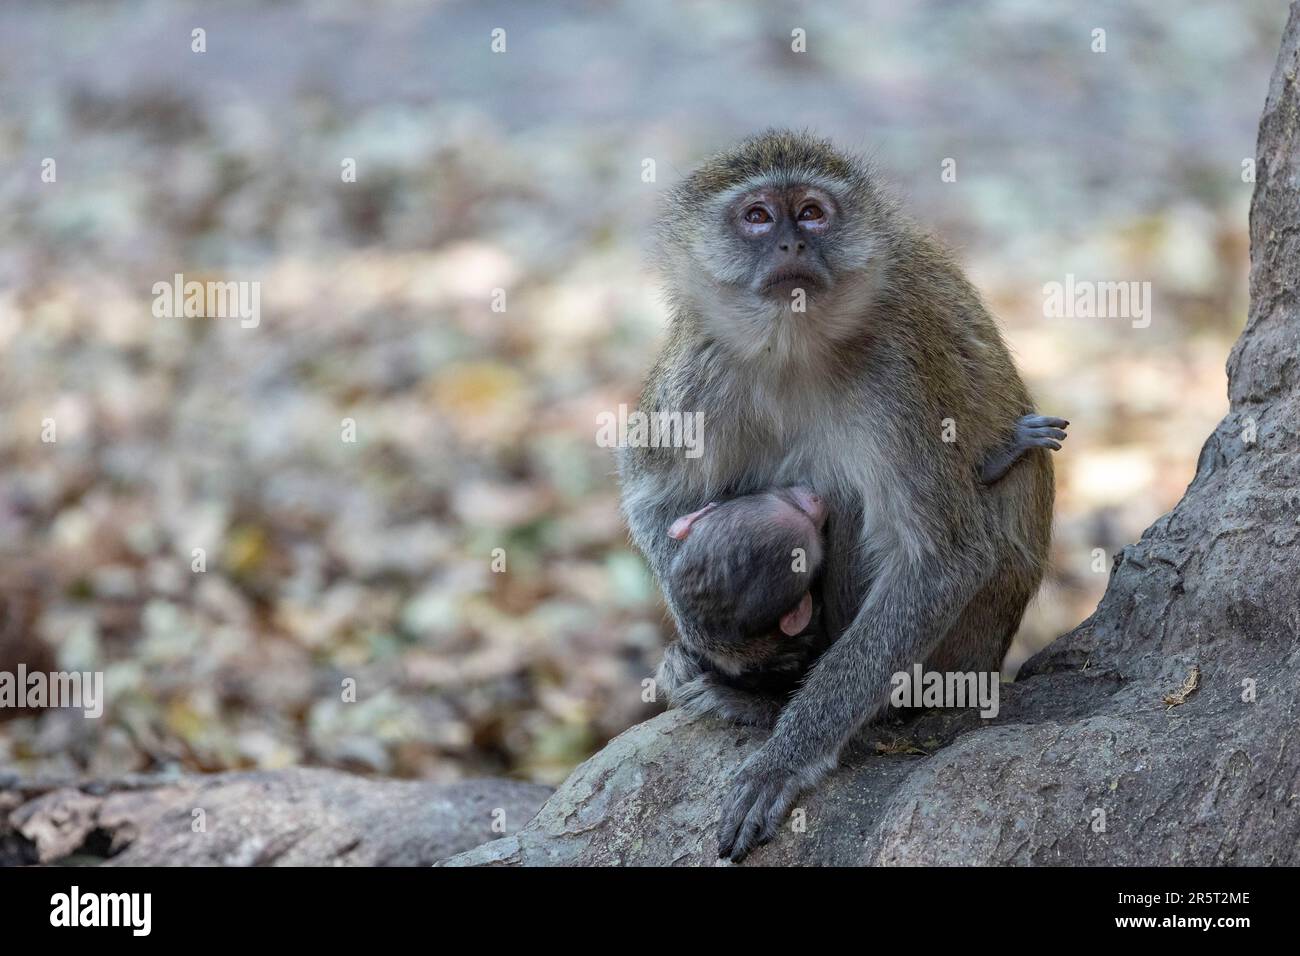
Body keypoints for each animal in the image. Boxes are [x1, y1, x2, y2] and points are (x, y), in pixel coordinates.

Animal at [618, 130, 1065, 862]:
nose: (791, 245)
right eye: (759, 217)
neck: (793, 348)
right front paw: (714, 649)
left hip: (969, 643)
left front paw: (787, 755)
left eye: (812, 213)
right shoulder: (699, 369)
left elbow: (940, 561)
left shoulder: (896, 373)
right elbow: (653, 494)